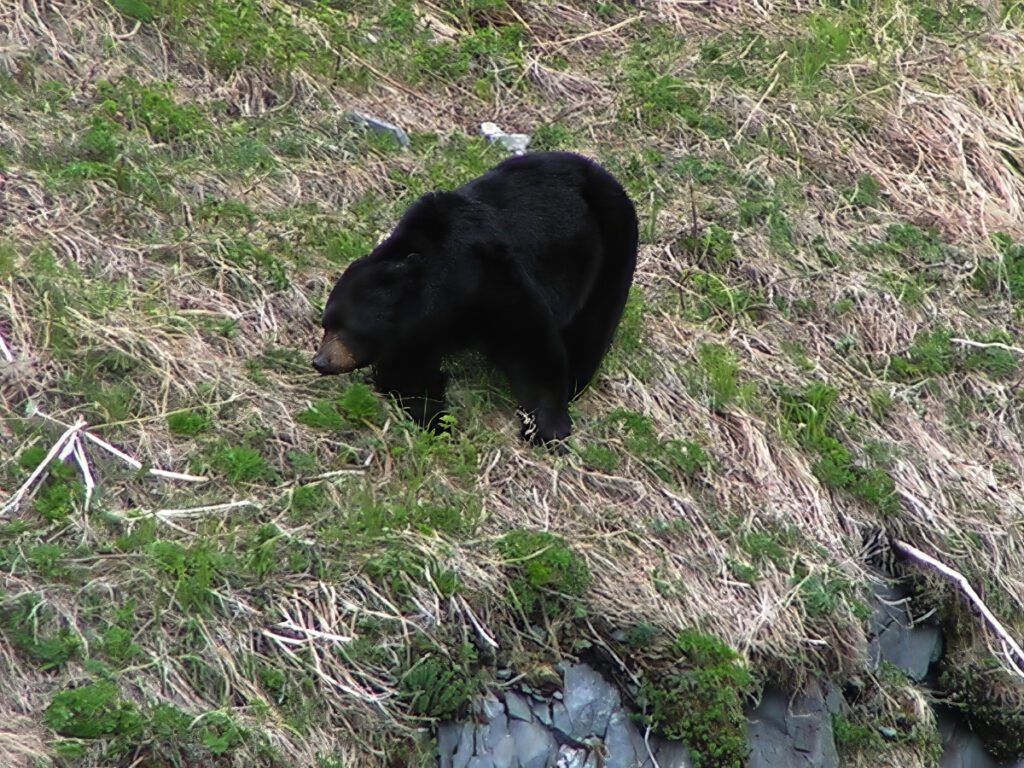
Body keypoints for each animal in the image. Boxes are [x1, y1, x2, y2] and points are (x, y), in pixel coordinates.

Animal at [311, 150, 634, 444]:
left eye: (348, 327)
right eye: (326, 324)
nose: (320, 361)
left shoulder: (491, 279)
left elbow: (530, 341)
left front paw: (546, 426)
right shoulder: (415, 330)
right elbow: (410, 373)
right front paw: (436, 421)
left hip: (610, 243)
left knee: (593, 322)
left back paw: (577, 379)